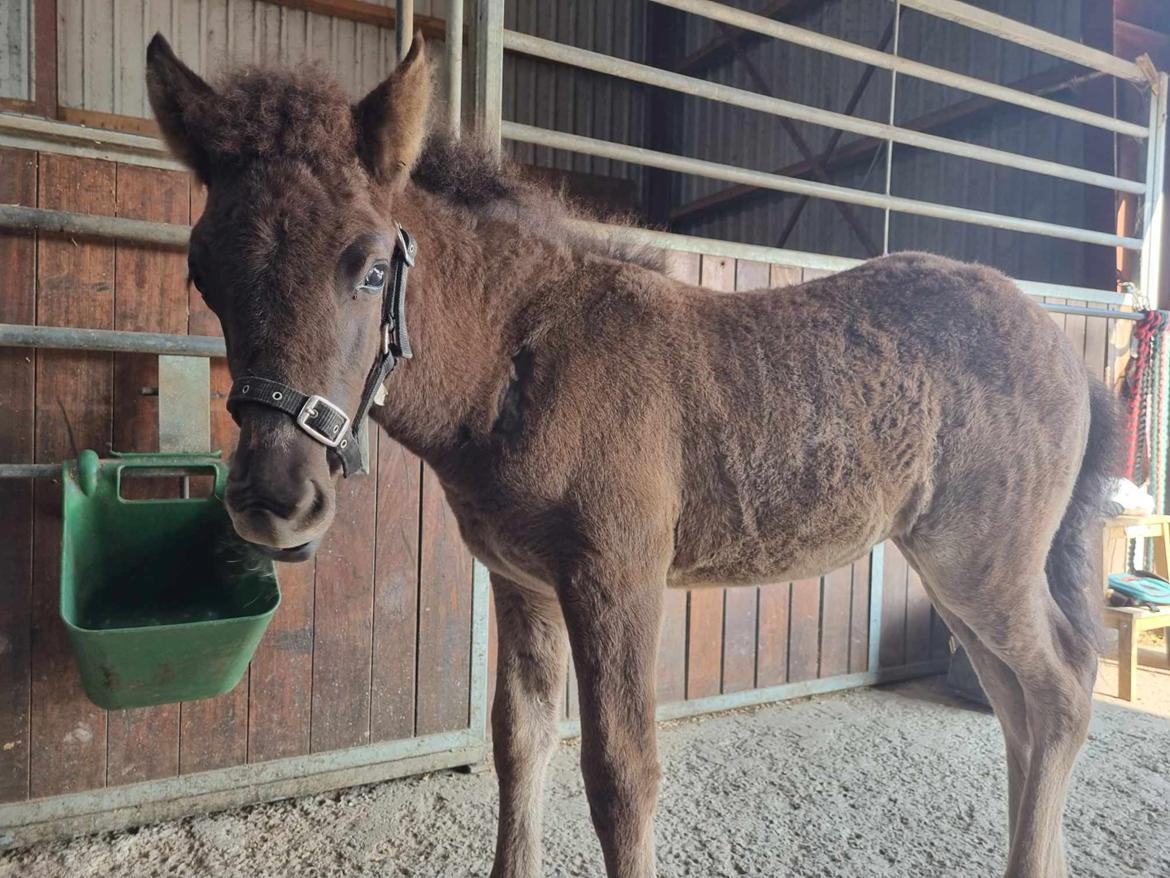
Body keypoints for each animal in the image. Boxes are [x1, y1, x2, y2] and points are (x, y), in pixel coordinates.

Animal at [146, 36, 1113, 878]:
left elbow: (621, 775)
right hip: (957, 571)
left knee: (1061, 694)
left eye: (373, 267)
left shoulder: (618, 578)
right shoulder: (522, 581)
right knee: (1020, 706)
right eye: (202, 273)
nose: (274, 499)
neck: (526, 358)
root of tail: (1069, 355)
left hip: (981, 565)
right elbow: (520, 744)